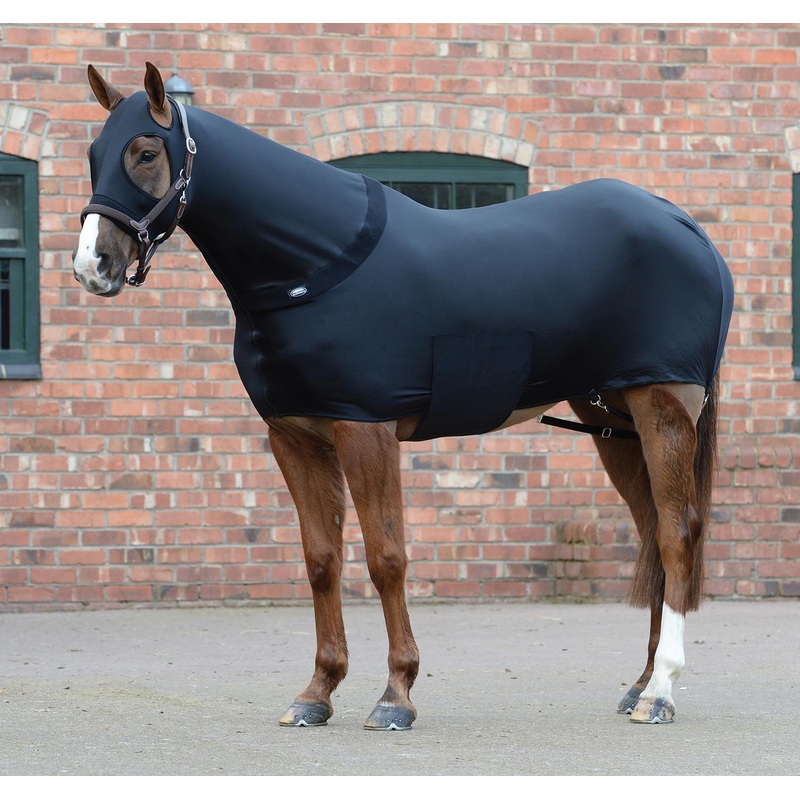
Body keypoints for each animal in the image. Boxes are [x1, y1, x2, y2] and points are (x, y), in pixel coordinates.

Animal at [72, 63, 734, 731]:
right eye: (94, 154)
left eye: (146, 152)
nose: (92, 266)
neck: (316, 267)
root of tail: (684, 225)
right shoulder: (294, 438)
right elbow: (322, 560)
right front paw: (316, 693)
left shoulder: (367, 430)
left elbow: (386, 557)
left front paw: (396, 694)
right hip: (612, 420)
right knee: (652, 535)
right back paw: (639, 686)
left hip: (662, 409)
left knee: (677, 533)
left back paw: (662, 692)